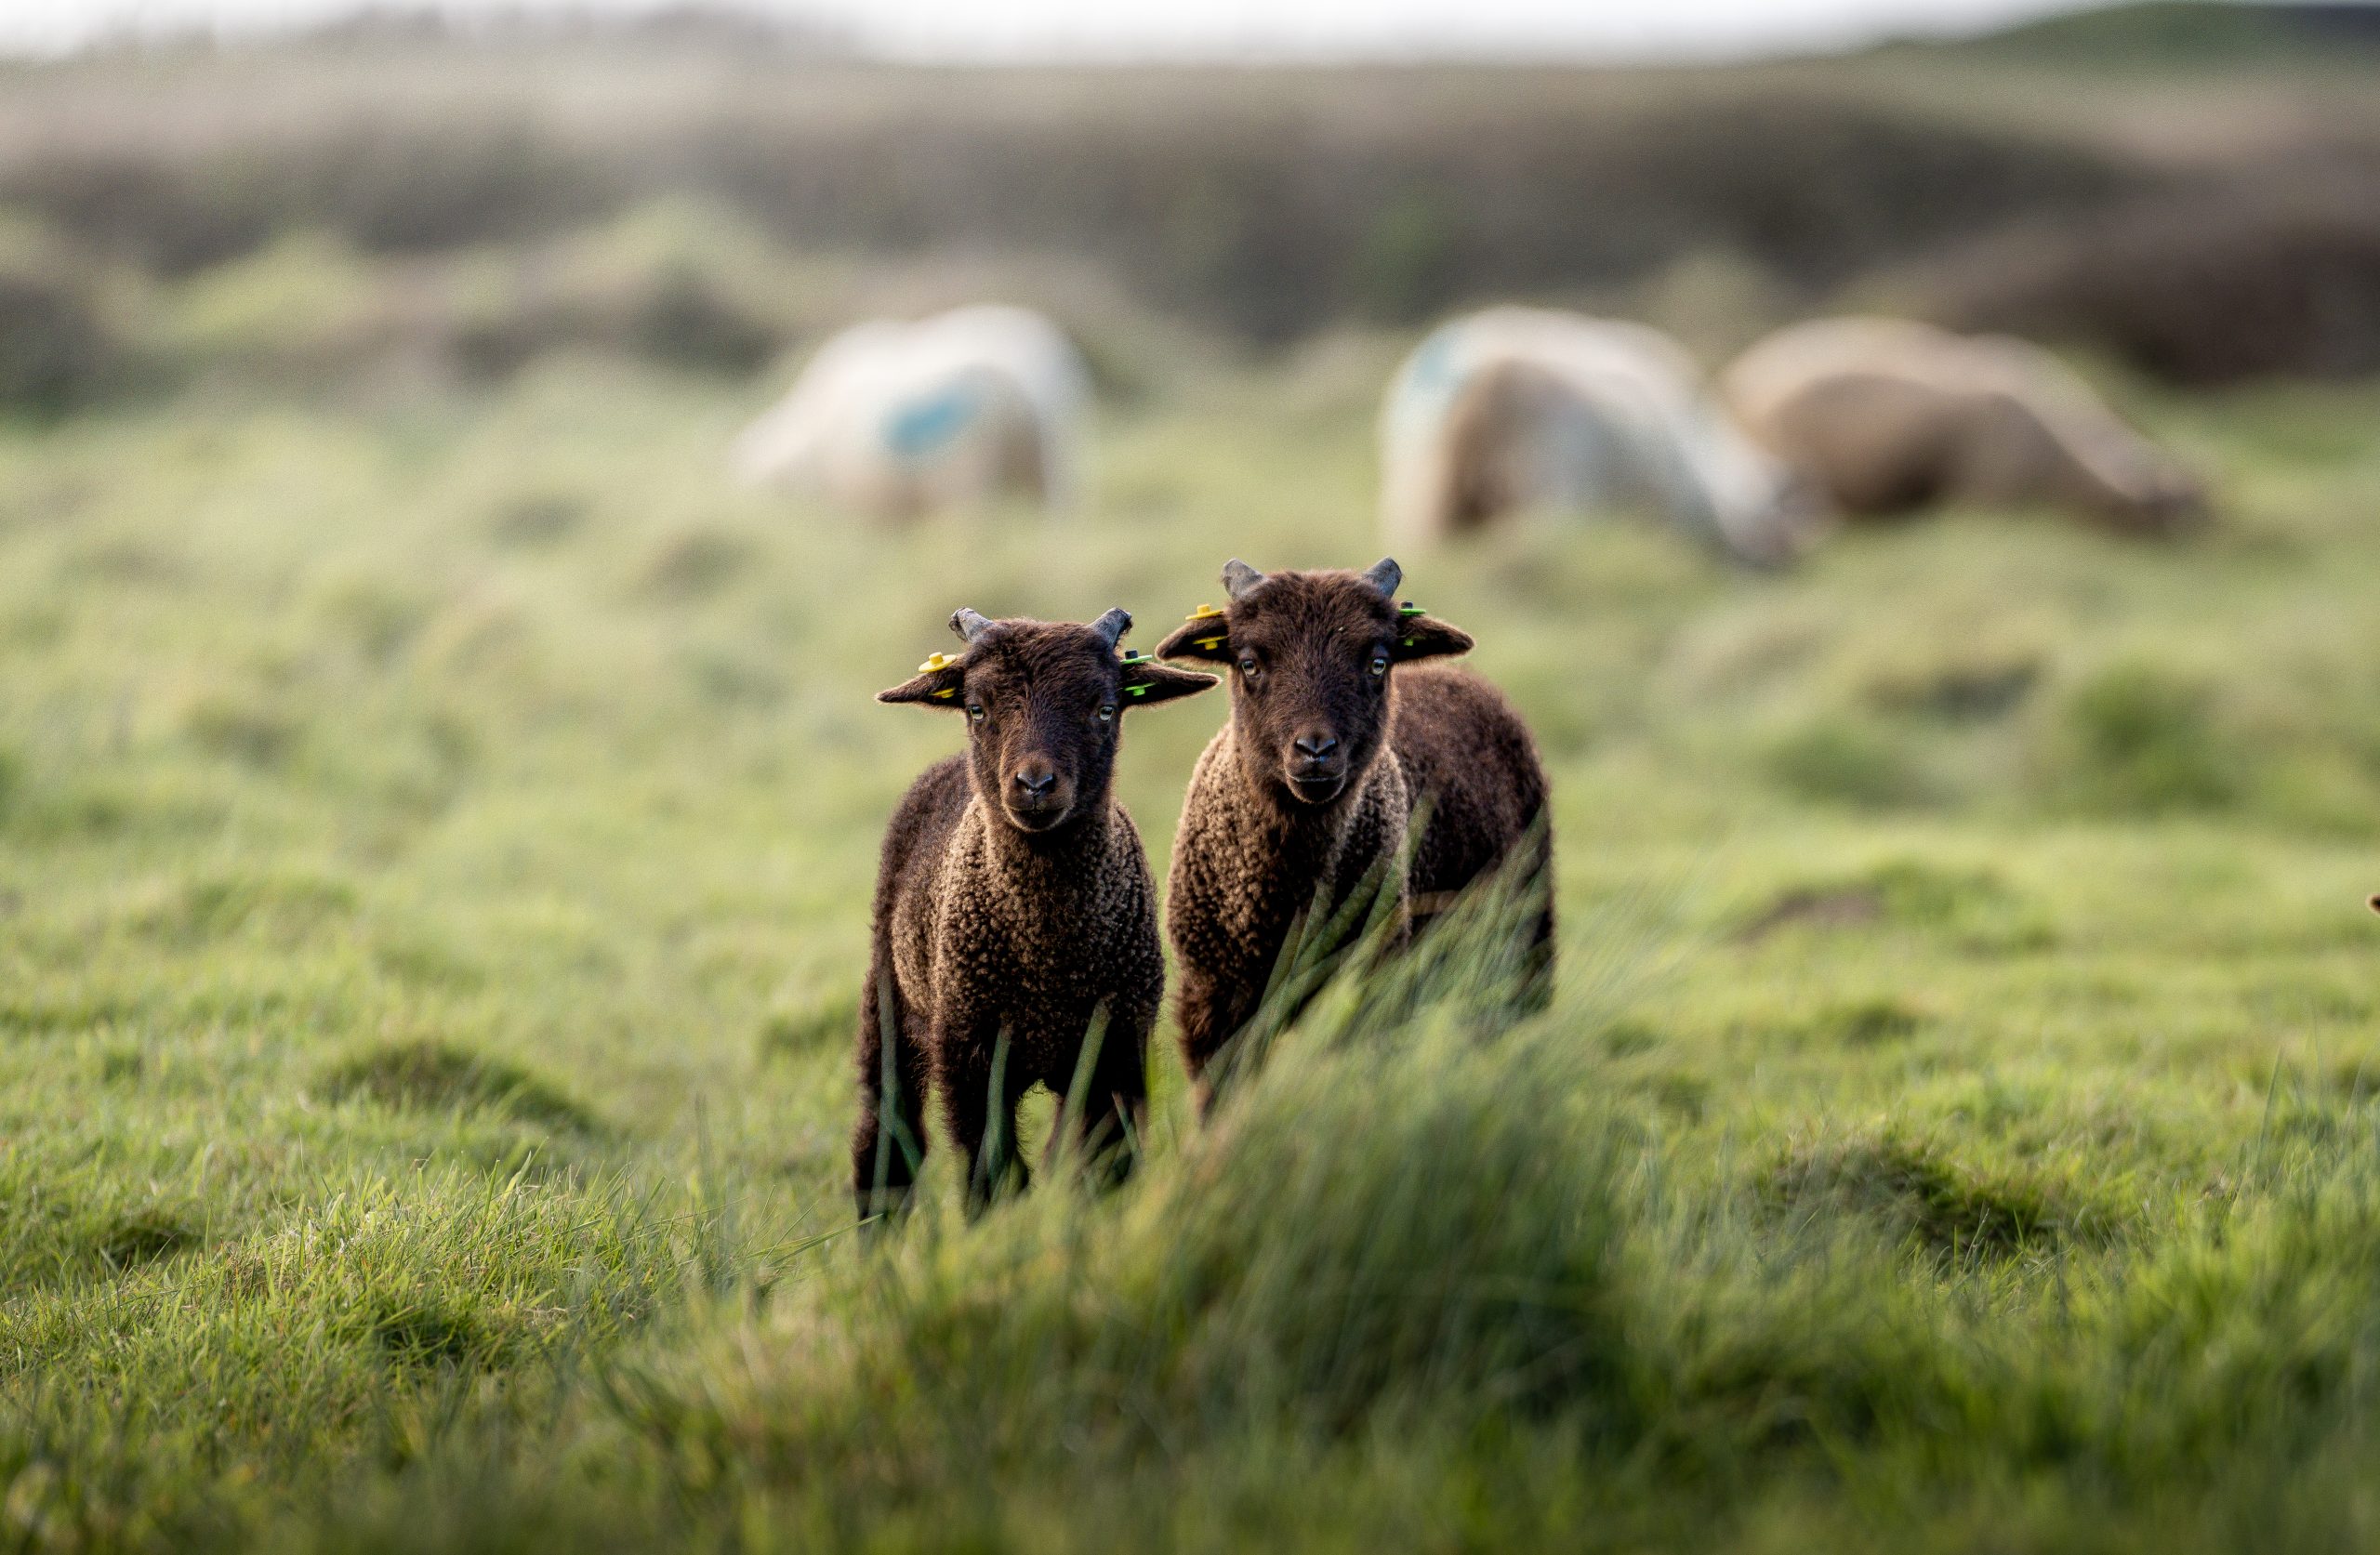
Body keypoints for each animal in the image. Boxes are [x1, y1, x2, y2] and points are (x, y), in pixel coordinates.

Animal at [854, 605, 1215, 1219]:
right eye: (977, 708)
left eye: (1105, 708)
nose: (1035, 785)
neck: (1048, 955)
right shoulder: (969, 1053)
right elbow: (991, 1171)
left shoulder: (1117, 1047)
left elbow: (1100, 1166)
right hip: (891, 991)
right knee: (886, 1124)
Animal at [1156, 557, 1553, 1109]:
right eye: (1250, 663)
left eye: (1378, 663)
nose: (1316, 752)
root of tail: (1457, 676)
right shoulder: (1211, 1007)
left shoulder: (1371, 989)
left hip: (1527, 930)